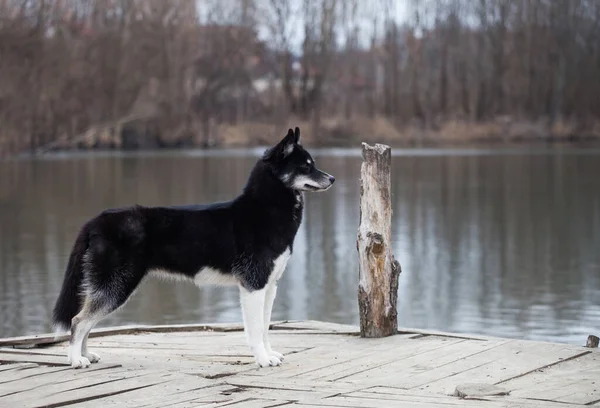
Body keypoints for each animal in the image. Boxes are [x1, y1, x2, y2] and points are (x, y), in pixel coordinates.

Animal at [51, 128, 332, 370]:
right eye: (306, 166)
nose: (332, 178)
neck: (264, 209)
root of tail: (95, 221)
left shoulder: (269, 286)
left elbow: (264, 326)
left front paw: (269, 354)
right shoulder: (253, 285)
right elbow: (254, 328)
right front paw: (262, 360)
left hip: (109, 286)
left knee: (86, 322)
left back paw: (86, 355)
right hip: (116, 286)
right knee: (78, 321)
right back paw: (75, 360)